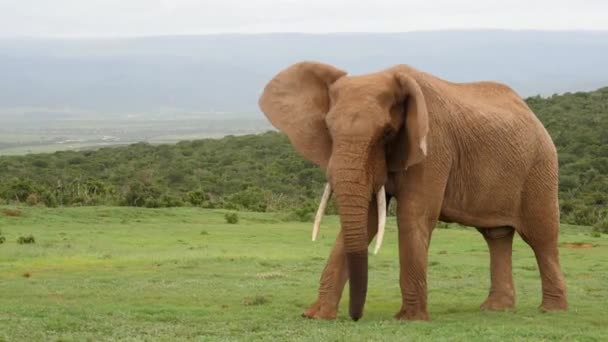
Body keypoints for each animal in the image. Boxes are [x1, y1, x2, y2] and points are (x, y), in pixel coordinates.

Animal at [255, 61, 564, 320]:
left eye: (386, 133)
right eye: (329, 130)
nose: (355, 316)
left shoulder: (433, 146)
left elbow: (412, 216)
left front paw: (409, 319)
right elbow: (366, 221)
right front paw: (316, 316)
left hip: (541, 167)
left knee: (541, 237)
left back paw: (551, 310)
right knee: (496, 236)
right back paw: (495, 309)